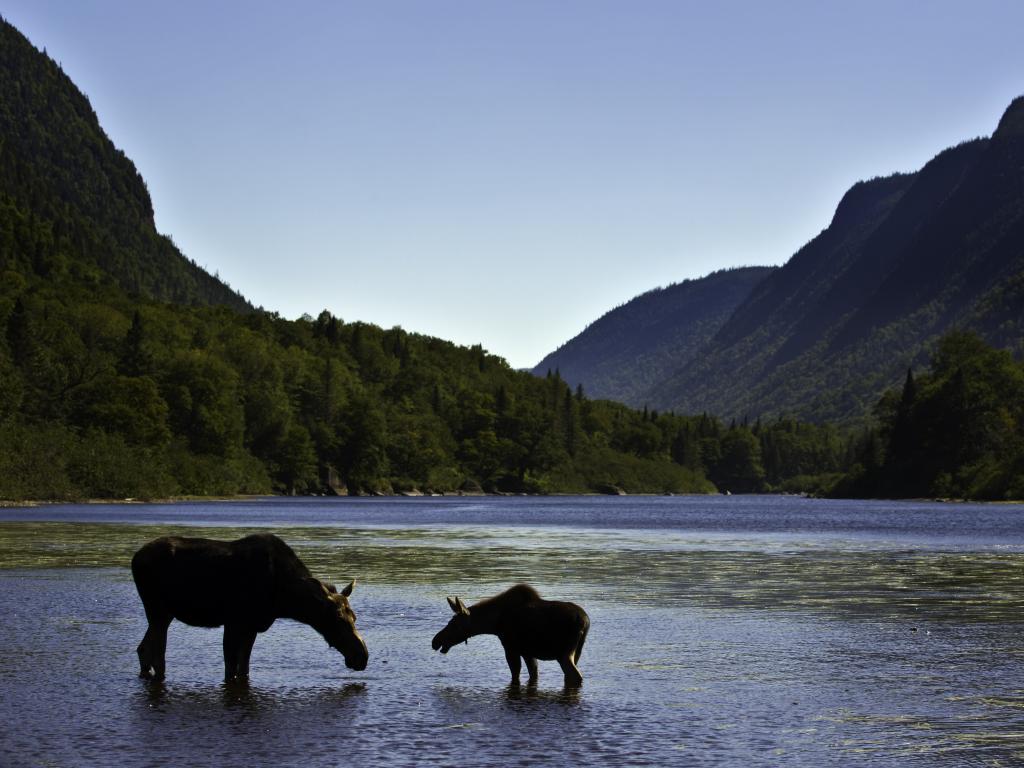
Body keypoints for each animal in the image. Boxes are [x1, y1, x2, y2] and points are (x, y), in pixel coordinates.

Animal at [130, 532, 366, 684]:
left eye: (354, 616)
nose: (362, 656)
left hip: (164, 614)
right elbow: (231, 670)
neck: (285, 599)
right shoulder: (234, 622)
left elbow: (243, 668)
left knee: (144, 648)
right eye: (337, 618)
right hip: (157, 610)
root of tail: (135, 558)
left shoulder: (251, 627)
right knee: (157, 654)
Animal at [432, 585, 593, 688]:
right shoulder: (528, 652)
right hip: (577, 652)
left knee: (576, 675)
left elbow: (515, 674)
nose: (435, 641)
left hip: (564, 654)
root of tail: (585, 622)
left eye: (454, 624)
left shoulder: (511, 648)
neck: (493, 624)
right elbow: (533, 674)